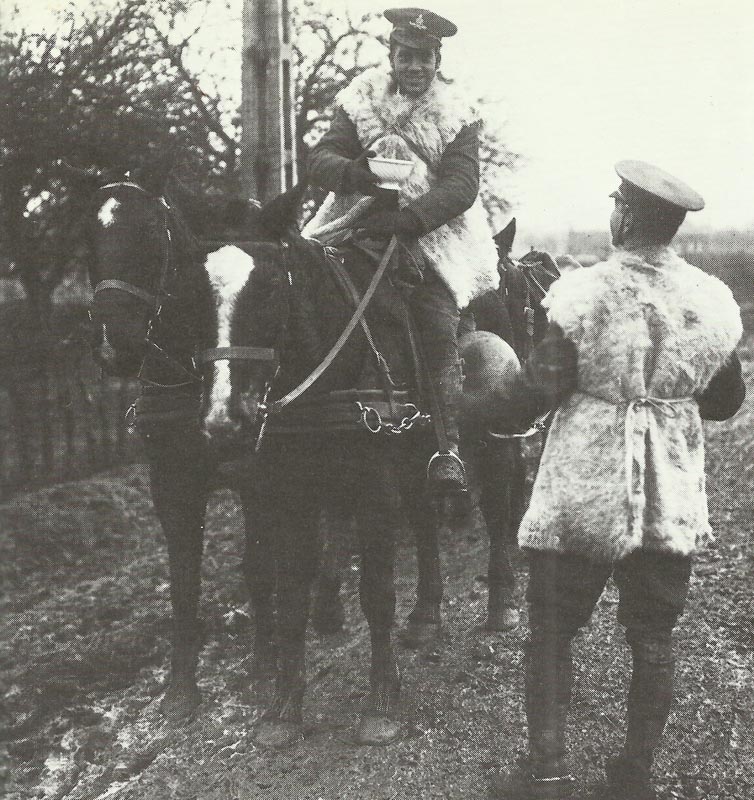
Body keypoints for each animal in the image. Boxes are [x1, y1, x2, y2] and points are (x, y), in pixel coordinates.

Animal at [206, 189, 544, 752]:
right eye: (199, 284)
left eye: (270, 282)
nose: (225, 418)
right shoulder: (292, 496)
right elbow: (290, 595)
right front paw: (283, 707)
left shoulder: (374, 493)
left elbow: (377, 594)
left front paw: (381, 704)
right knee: (429, 525)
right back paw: (426, 617)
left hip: (494, 447)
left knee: (498, 515)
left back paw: (500, 604)